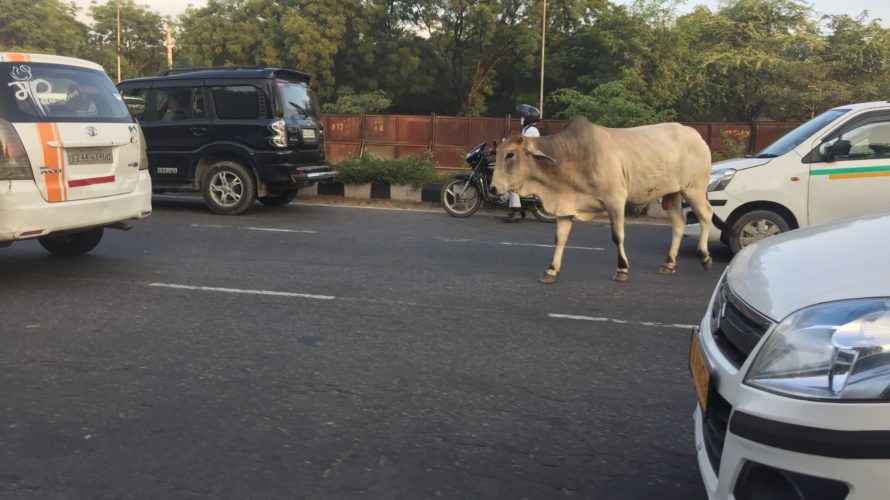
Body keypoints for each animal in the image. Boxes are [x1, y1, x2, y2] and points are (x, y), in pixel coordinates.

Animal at [490, 114, 712, 284]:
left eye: (510, 155)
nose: (493, 188)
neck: (570, 156)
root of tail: (696, 136)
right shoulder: (566, 206)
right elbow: (560, 238)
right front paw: (551, 270)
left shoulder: (615, 200)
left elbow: (617, 236)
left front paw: (622, 269)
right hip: (672, 194)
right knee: (679, 224)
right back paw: (669, 263)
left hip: (694, 190)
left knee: (706, 215)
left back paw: (704, 257)